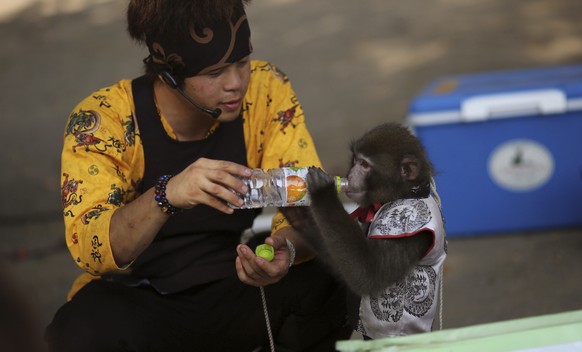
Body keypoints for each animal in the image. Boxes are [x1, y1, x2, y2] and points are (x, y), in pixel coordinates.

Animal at [282, 122, 448, 340]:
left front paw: (322, 191)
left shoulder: (406, 222)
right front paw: (298, 215)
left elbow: (368, 272)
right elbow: (343, 264)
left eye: (365, 165)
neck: (402, 194)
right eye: (355, 160)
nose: (351, 175)